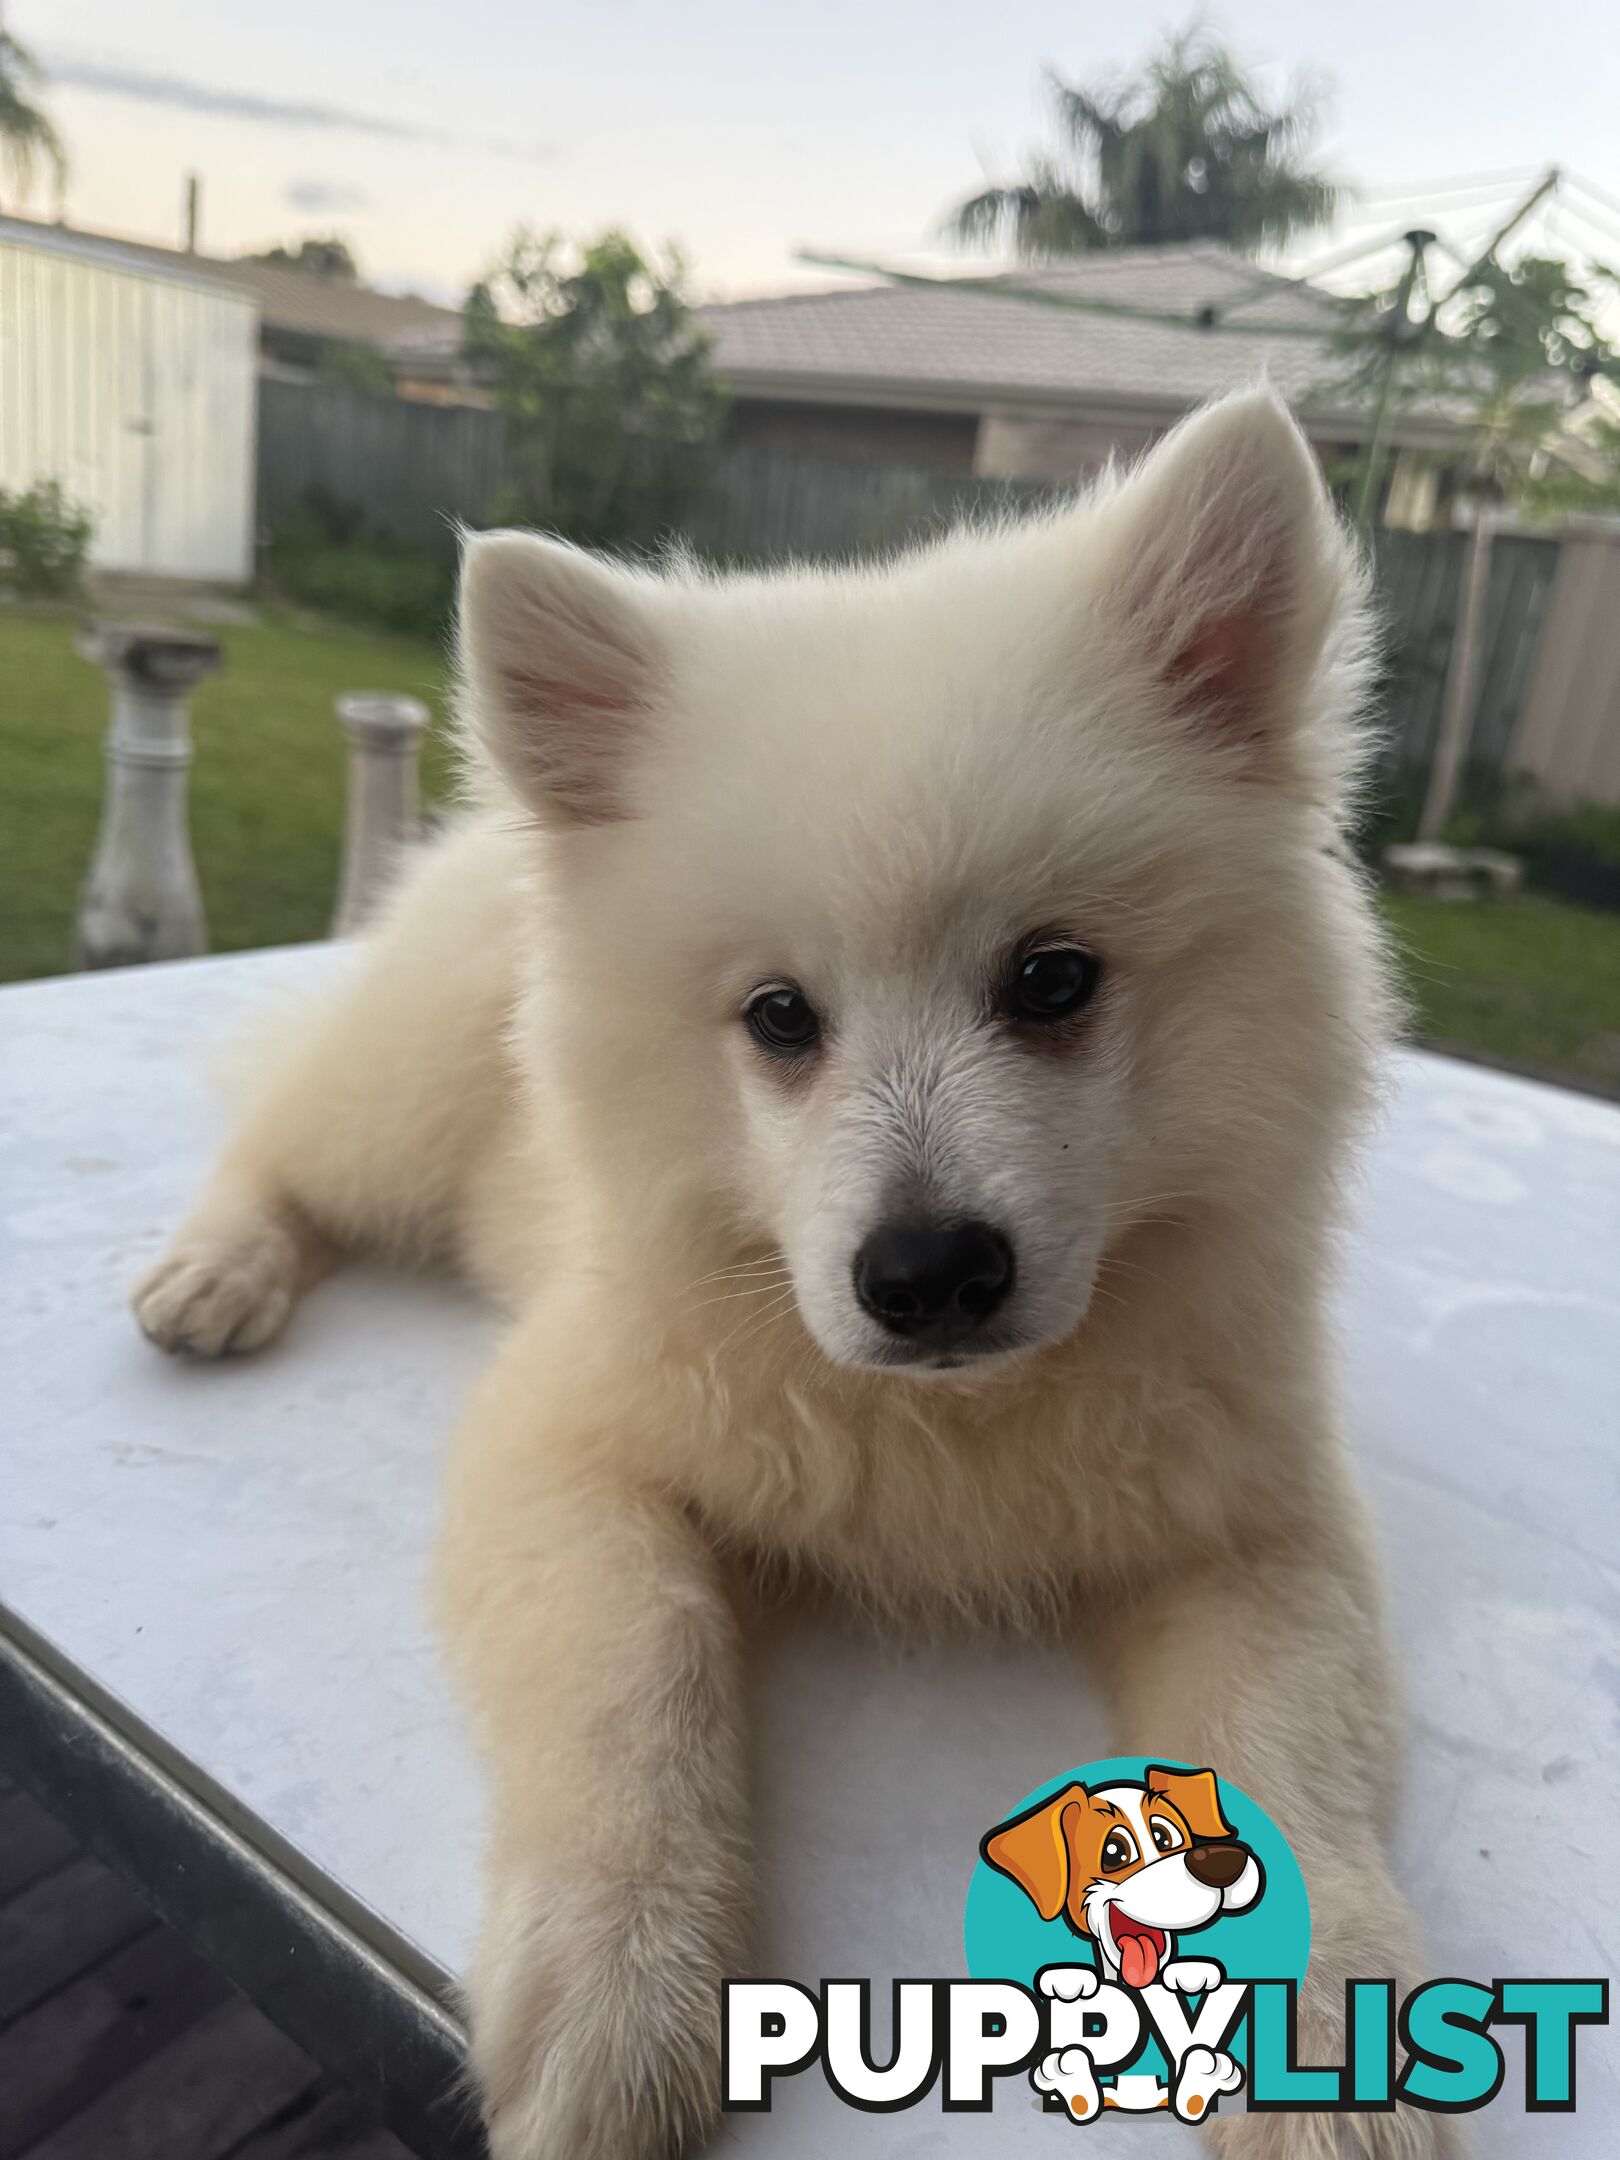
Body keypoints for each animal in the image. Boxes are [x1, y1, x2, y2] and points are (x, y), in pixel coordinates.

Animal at [139, 393, 1460, 2160]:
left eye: (1053, 979)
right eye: (778, 1018)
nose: (930, 1275)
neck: (957, 1420)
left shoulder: (1262, 1532)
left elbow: (1285, 1759)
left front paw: (1336, 2050)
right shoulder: (572, 1452)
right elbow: (637, 1684)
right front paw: (621, 2001)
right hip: (402, 1103)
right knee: (283, 1135)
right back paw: (215, 1272)